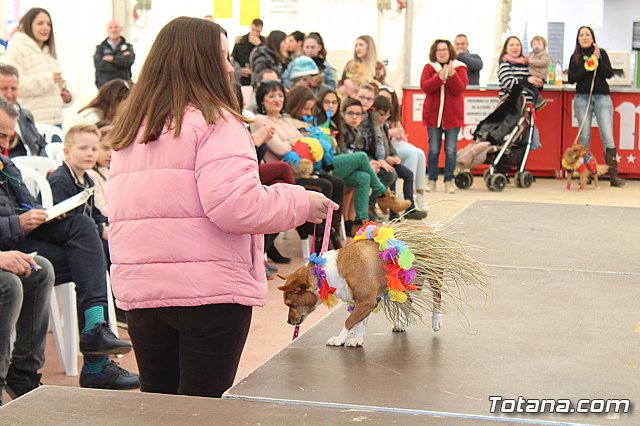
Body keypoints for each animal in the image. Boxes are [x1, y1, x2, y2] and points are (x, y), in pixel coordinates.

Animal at [278, 240, 442, 346]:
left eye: (291, 304)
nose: (288, 322)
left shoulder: (366, 301)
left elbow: (349, 321)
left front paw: (340, 339)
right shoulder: (364, 302)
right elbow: (360, 322)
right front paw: (358, 339)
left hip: (433, 274)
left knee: (437, 294)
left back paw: (436, 319)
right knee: (408, 302)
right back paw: (402, 322)